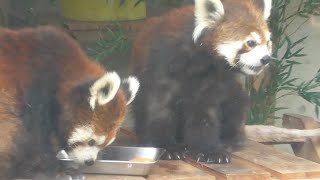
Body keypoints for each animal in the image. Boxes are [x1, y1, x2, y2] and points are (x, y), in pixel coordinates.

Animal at [0, 26, 139, 179]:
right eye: (91, 141)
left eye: (106, 144)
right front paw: (54, 170)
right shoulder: (36, 92)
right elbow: (33, 139)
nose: (89, 162)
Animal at [130, 0, 272, 163]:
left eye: (268, 43)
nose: (266, 58)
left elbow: (205, 114)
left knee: (236, 103)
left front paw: (209, 150)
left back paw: (230, 140)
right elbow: (159, 108)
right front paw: (166, 147)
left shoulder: (212, 81)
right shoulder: (161, 64)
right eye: (251, 42)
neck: (200, 62)